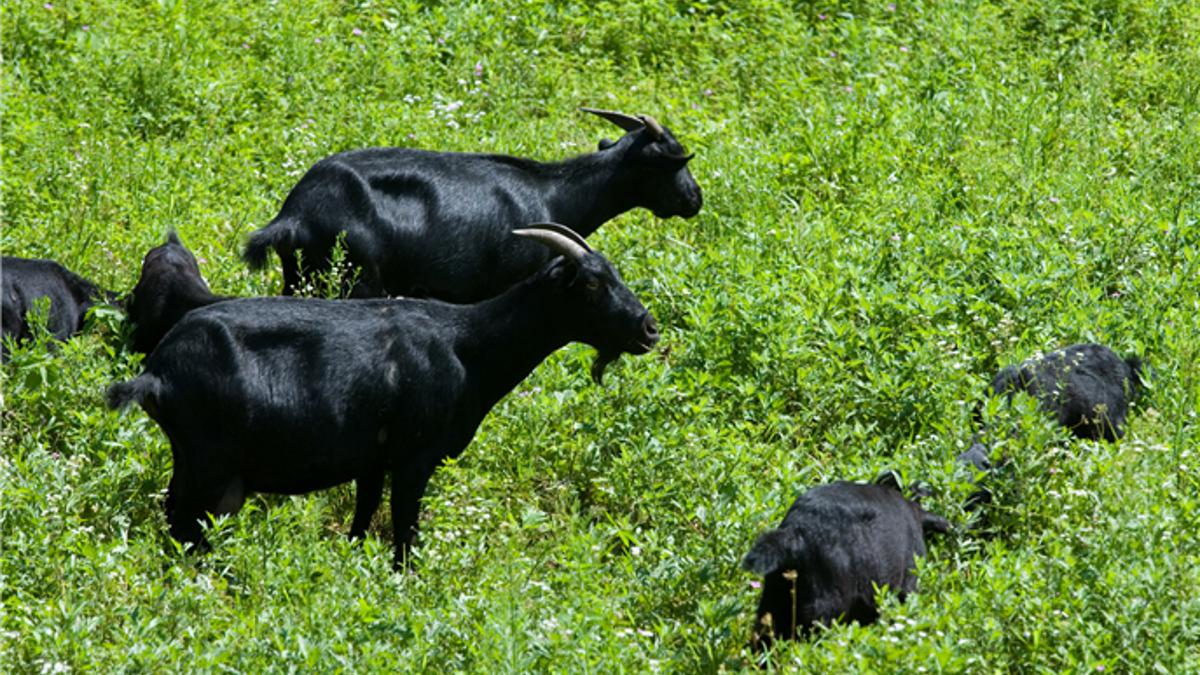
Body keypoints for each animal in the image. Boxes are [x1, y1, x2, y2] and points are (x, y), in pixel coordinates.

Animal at [105, 224, 657, 562]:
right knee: (186, 531)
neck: (467, 345)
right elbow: (405, 532)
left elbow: (362, 519)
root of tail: (156, 374)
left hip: (191, 461)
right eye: (591, 285)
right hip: (211, 465)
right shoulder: (415, 458)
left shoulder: (371, 460)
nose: (648, 330)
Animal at [241, 107, 700, 299]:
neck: (552, 193)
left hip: (299, 276)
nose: (695, 198)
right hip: (356, 278)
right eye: (678, 159)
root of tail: (293, 214)